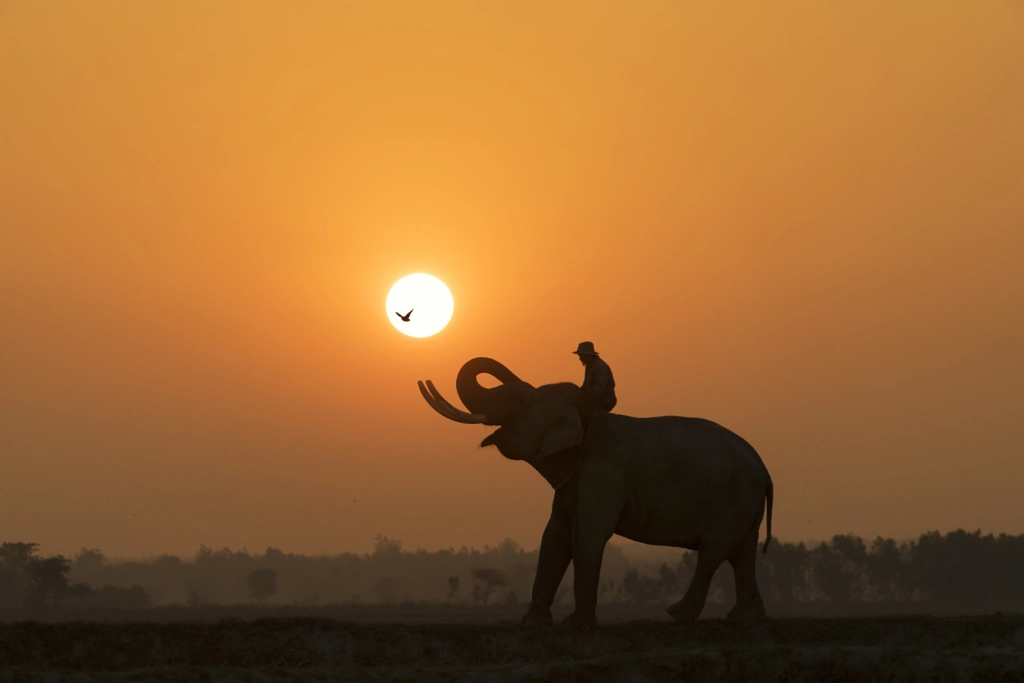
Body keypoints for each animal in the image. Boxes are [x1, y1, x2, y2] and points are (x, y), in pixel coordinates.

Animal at [413, 358, 770, 630]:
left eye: (522, 403)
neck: (582, 416)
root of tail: (764, 469)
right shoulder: (573, 479)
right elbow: (554, 536)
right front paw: (533, 623)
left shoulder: (604, 471)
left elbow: (586, 534)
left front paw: (576, 624)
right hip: (745, 504)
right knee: (742, 554)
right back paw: (744, 618)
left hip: (735, 499)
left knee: (713, 551)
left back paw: (678, 615)